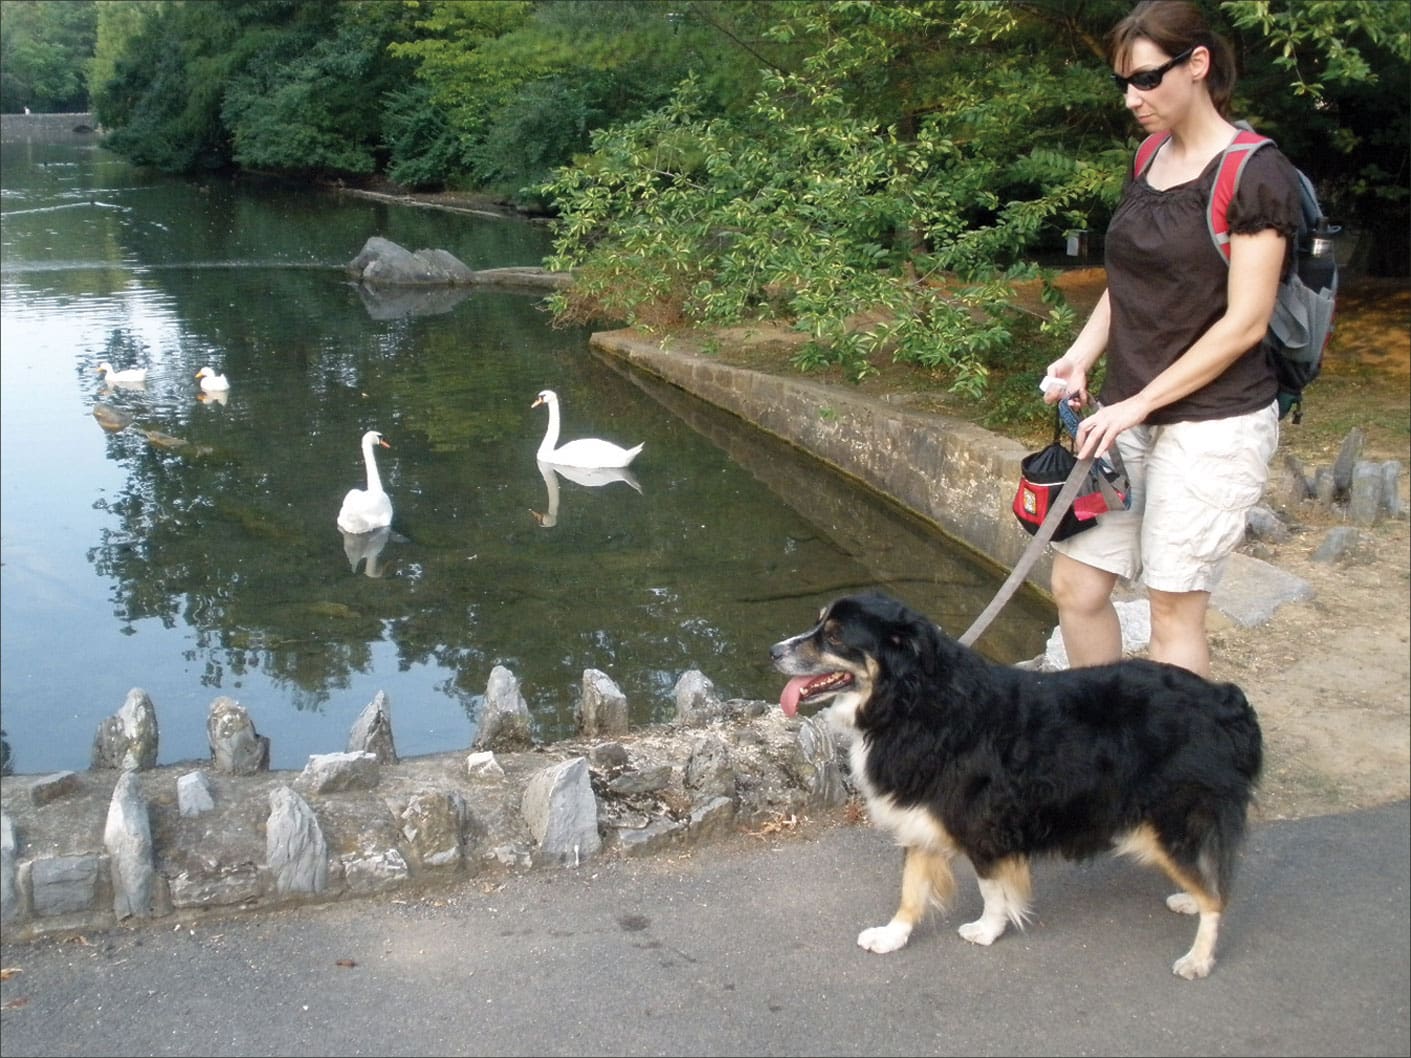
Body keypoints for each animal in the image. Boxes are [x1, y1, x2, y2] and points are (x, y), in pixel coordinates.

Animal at [773, 592, 1269, 981]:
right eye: (819, 624)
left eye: (835, 637)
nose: (774, 651)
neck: (913, 701)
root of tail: (1225, 701)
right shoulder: (921, 816)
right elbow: (911, 890)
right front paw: (892, 936)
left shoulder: (984, 824)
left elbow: (993, 889)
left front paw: (987, 931)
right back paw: (1189, 899)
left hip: (1171, 820)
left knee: (1217, 898)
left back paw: (1198, 956)